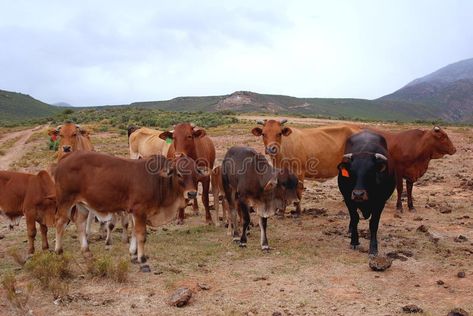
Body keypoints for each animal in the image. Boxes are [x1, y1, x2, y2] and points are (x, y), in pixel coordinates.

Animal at [53, 150, 205, 262]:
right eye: (179, 174)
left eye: (196, 174)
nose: (192, 193)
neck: (158, 180)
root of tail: (66, 157)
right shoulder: (139, 210)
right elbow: (141, 234)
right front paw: (141, 257)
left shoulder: (134, 212)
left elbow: (134, 233)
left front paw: (133, 252)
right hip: (65, 201)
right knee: (60, 223)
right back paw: (58, 250)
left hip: (82, 205)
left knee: (80, 223)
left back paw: (86, 251)